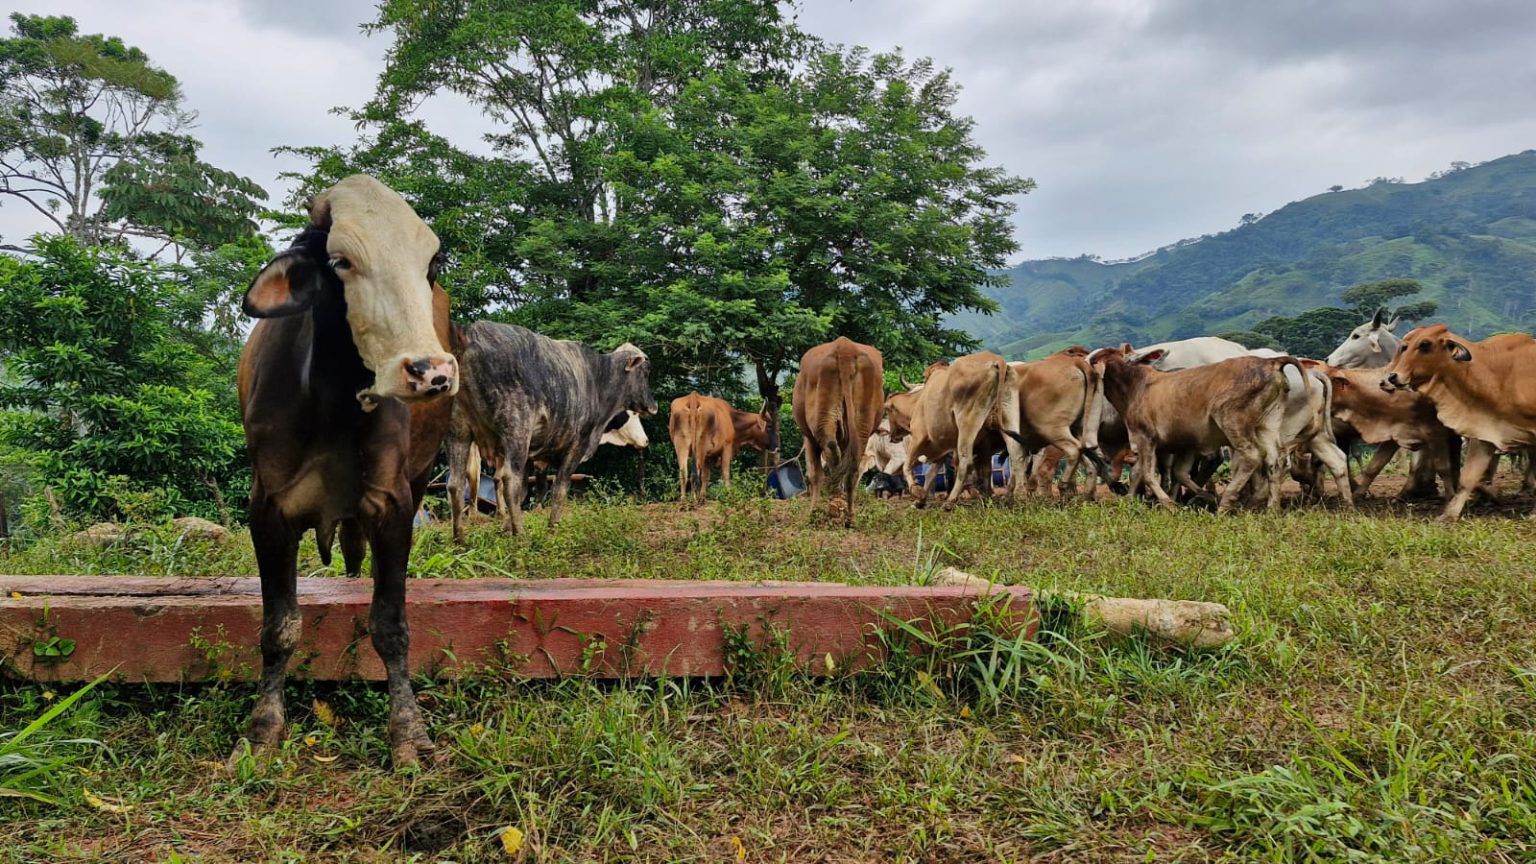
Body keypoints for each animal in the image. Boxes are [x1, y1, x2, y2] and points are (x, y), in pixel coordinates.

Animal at [236, 175, 454, 765]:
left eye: (430, 262)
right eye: (340, 261)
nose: (429, 371)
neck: (333, 402)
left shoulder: (395, 505)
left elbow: (391, 625)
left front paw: (408, 730)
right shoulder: (268, 510)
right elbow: (279, 626)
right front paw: (263, 725)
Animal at [897, 350, 1026, 507]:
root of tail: (996, 360)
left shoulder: (918, 435)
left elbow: (907, 466)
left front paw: (917, 492)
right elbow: (931, 473)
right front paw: (920, 500)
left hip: (967, 421)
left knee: (966, 460)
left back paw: (951, 500)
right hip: (1009, 414)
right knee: (1016, 452)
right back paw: (1019, 495)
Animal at [1093, 345, 1296, 510]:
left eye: (1093, 360)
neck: (1135, 387)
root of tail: (1271, 362)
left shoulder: (1145, 439)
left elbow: (1146, 474)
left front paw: (1168, 504)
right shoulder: (1185, 444)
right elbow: (1177, 473)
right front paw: (1201, 497)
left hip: (1232, 421)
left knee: (1251, 456)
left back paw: (1226, 504)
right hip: (1267, 424)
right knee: (1275, 460)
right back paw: (1270, 508)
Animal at [1382, 324, 1536, 516]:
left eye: (1425, 344)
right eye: (1404, 346)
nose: (1392, 377)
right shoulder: (1485, 431)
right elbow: (1468, 477)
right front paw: (1449, 514)